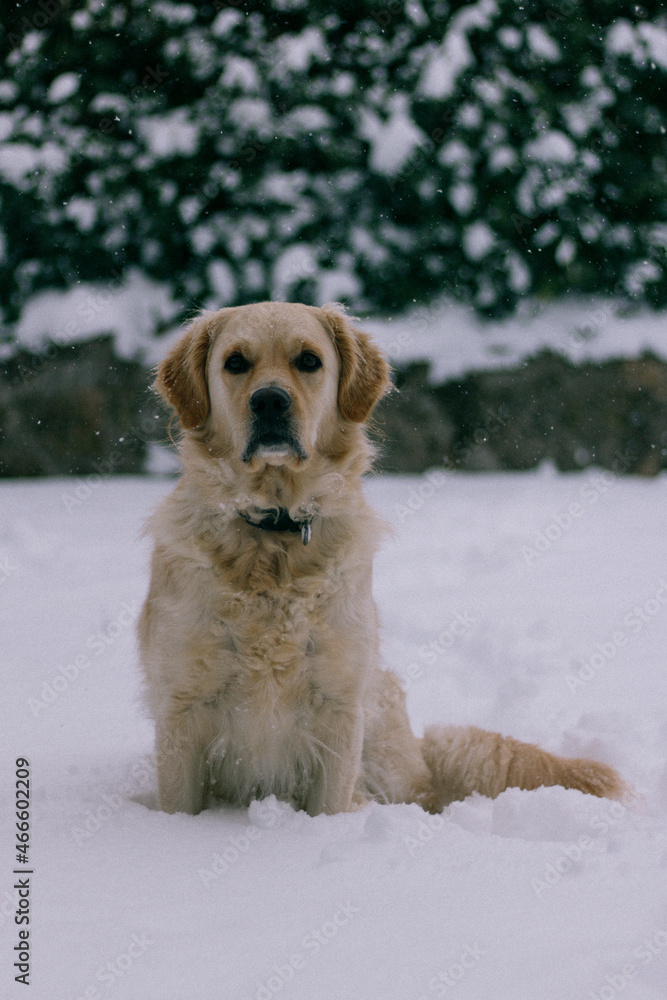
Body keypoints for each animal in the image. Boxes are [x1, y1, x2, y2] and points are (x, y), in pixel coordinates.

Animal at [138, 300, 628, 816]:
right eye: (235, 362)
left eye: (308, 360)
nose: (270, 400)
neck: (273, 535)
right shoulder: (181, 708)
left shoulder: (340, 709)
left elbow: (330, 807)